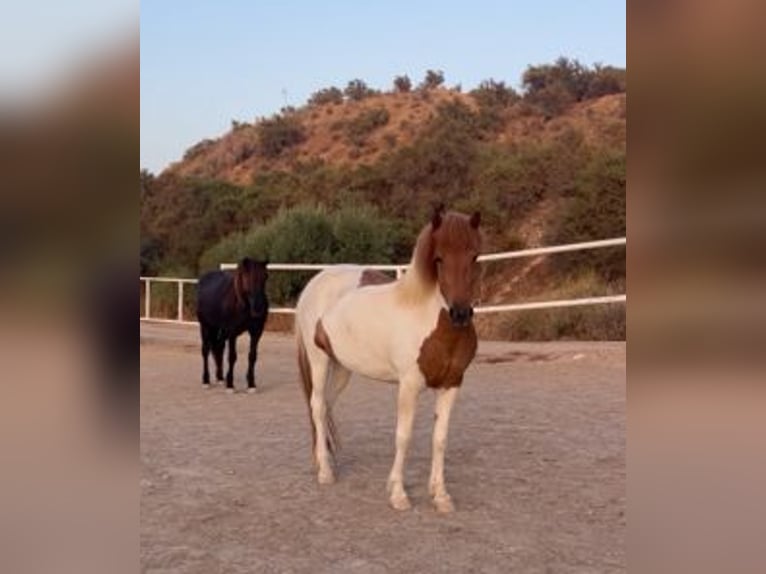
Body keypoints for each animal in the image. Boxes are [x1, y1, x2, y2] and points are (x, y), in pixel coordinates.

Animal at [196, 257, 269, 393]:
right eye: (247, 277)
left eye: (266, 277)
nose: (258, 308)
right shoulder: (232, 333)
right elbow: (232, 357)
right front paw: (230, 385)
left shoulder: (256, 332)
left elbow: (252, 356)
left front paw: (251, 384)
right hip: (205, 326)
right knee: (206, 351)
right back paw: (206, 381)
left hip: (219, 330)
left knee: (219, 349)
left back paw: (220, 378)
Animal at [295, 206, 482, 512]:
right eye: (439, 258)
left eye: (474, 256)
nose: (460, 314)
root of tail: (316, 281)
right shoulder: (409, 386)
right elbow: (403, 437)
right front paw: (398, 493)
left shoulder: (452, 384)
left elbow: (440, 439)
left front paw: (441, 495)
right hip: (319, 361)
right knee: (318, 406)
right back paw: (325, 472)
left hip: (342, 367)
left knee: (327, 407)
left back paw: (327, 461)